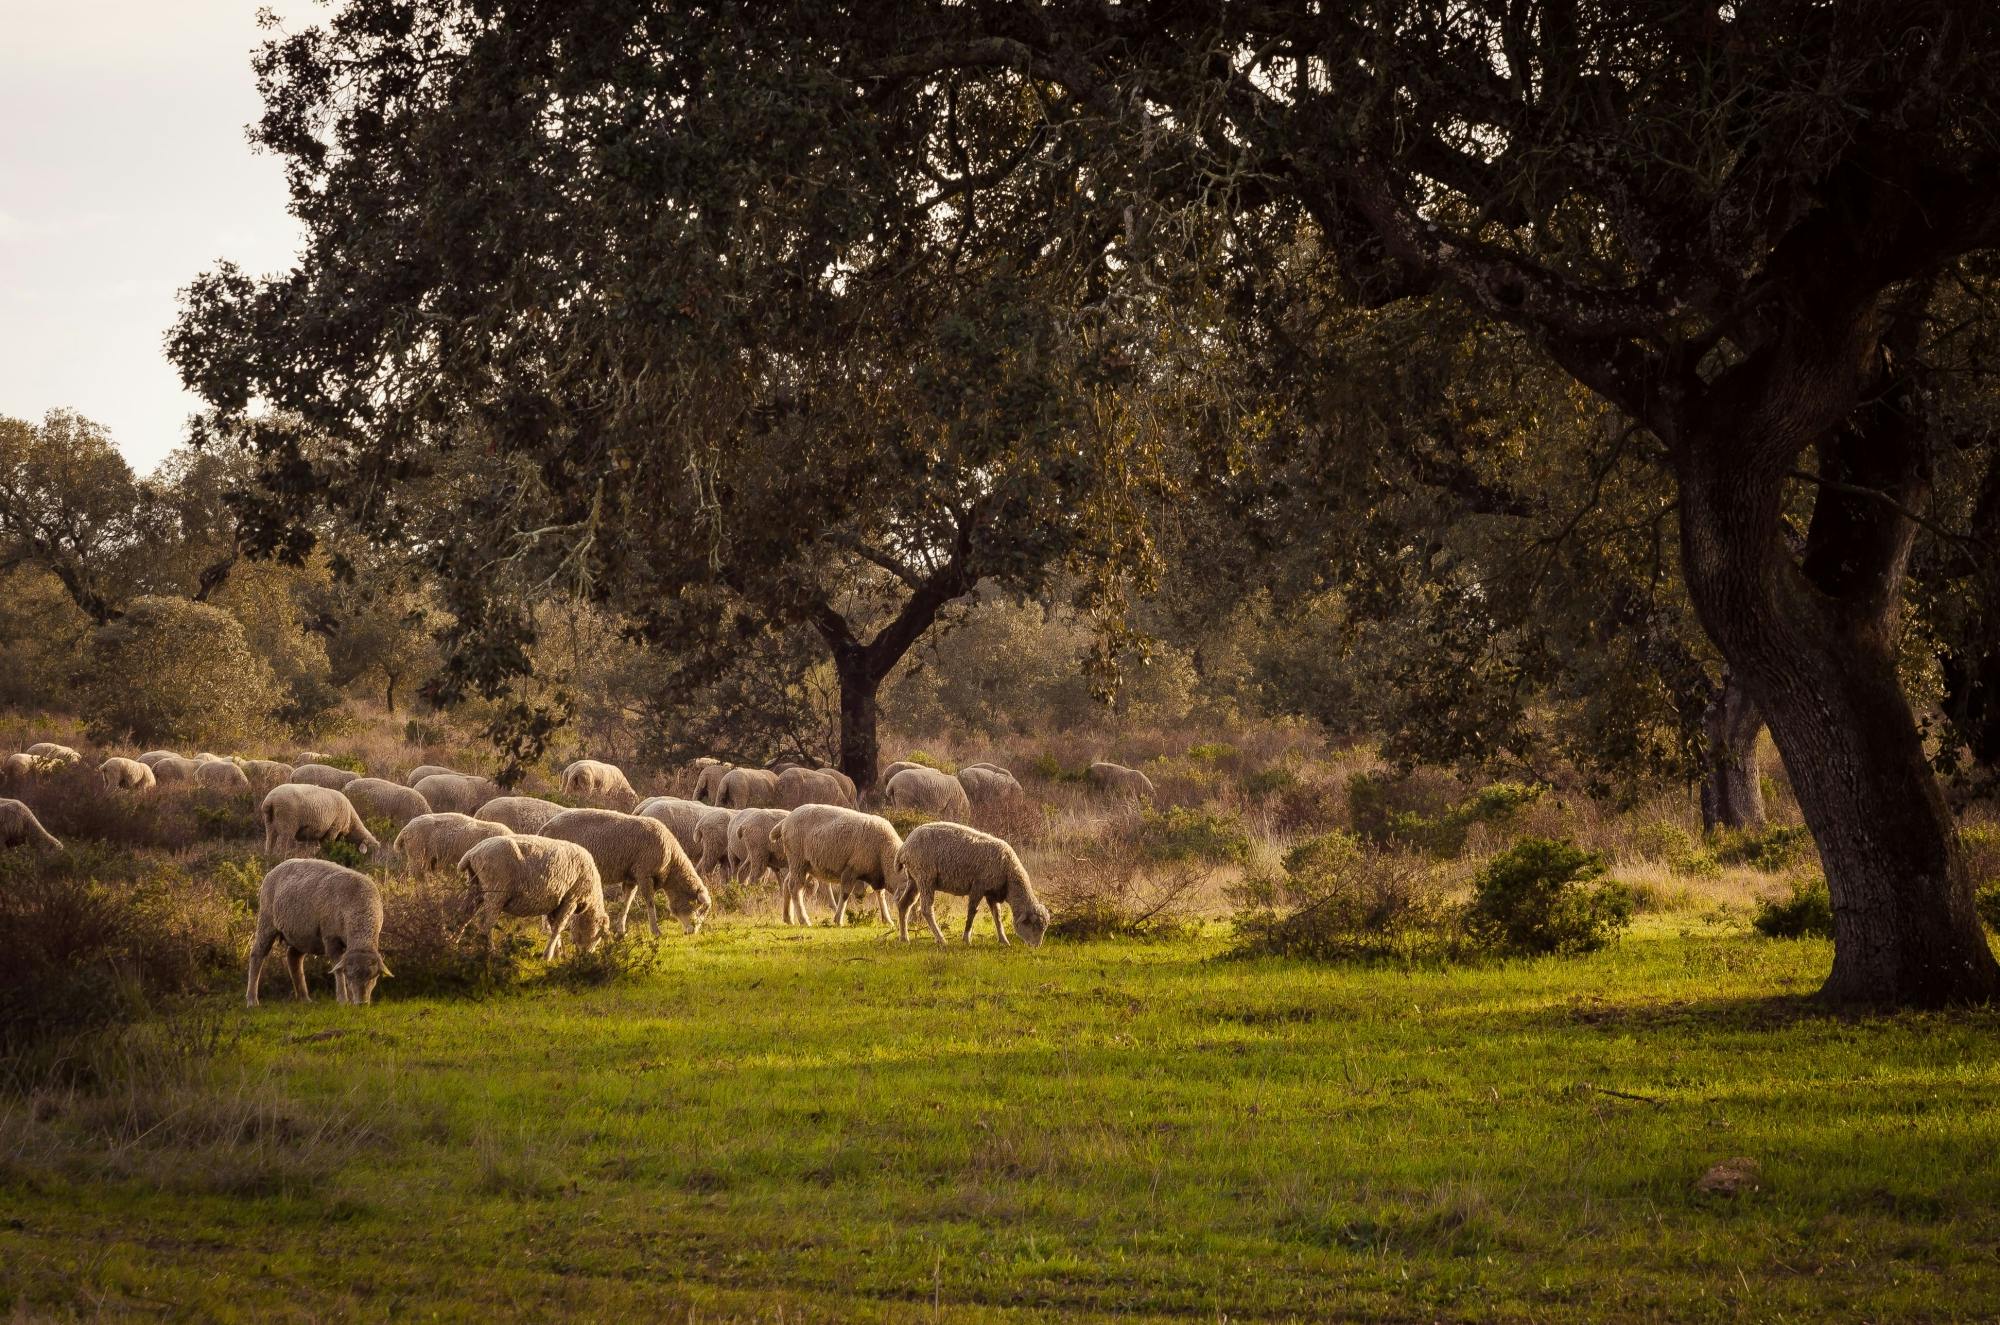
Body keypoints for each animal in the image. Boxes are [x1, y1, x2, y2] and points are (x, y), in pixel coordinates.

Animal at [246, 856, 390, 1012]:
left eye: (374, 977)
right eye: (350, 976)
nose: (362, 1004)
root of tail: (275, 868)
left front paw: (351, 1000)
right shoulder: (331, 938)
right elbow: (338, 969)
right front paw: (343, 999)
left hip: (301, 934)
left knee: (293, 958)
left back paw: (305, 999)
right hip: (267, 921)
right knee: (257, 955)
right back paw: (252, 1000)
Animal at [458, 836, 608, 960]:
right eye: (600, 934)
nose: (586, 956)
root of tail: (472, 853)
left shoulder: (555, 903)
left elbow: (553, 927)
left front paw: (558, 955)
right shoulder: (571, 899)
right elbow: (558, 928)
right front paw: (547, 956)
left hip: (475, 887)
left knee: (462, 917)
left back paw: (454, 943)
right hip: (495, 893)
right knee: (486, 924)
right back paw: (489, 953)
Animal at [540, 804, 712, 940]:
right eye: (697, 908)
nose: (692, 932)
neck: (671, 862)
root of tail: (546, 827)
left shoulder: (631, 877)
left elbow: (626, 902)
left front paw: (621, 930)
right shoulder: (644, 874)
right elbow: (650, 902)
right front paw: (656, 931)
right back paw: (547, 929)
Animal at [768, 804, 904, 928]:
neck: (884, 852)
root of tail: (786, 820)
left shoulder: (876, 874)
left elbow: (880, 894)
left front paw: (887, 920)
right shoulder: (850, 870)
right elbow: (845, 894)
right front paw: (838, 920)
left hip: (803, 865)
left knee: (787, 884)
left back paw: (788, 918)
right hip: (798, 860)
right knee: (795, 887)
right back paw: (804, 920)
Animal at [892, 824, 1048, 948]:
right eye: (1034, 926)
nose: (1036, 947)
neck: (1009, 875)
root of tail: (904, 847)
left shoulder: (991, 893)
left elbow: (997, 916)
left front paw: (1003, 940)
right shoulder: (978, 887)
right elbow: (972, 912)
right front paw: (966, 939)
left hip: (914, 879)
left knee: (904, 904)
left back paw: (904, 938)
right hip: (925, 877)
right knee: (926, 909)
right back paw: (941, 939)